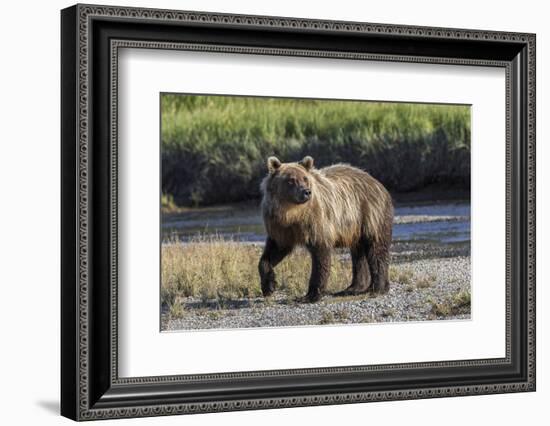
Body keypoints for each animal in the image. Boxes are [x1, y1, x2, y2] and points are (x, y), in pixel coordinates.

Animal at [260, 156, 394, 302]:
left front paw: (311, 295)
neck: (292, 214)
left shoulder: (316, 221)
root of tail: (377, 182)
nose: (306, 192)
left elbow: (320, 255)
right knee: (358, 254)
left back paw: (377, 288)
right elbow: (274, 251)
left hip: (370, 214)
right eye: (291, 180)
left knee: (376, 249)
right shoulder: (280, 227)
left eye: (305, 178)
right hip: (355, 227)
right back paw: (354, 288)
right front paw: (269, 286)